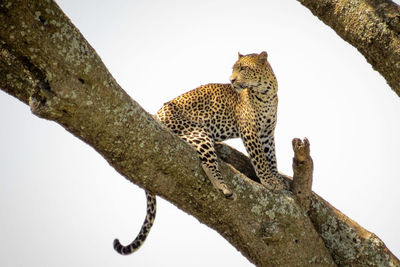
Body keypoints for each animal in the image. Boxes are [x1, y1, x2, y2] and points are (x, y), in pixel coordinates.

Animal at [114, 51, 286, 255]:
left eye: (243, 68)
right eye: (234, 69)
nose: (231, 80)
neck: (266, 93)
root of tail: (157, 116)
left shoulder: (267, 133)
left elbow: (271, 157)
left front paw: (277, 178)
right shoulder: (250, 130)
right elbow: (260, 159)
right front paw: (268, 181)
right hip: (198, 132)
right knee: (207, 162)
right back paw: (224, 187)